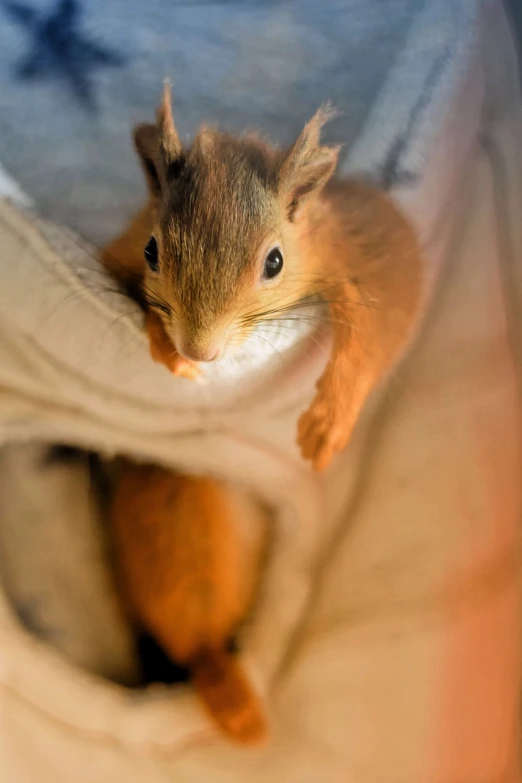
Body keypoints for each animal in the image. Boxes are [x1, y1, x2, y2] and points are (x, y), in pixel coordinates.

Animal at [102, 84, 422, 748]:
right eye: (151, 250)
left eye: (275, 262)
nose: (200, 351)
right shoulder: (113, 251)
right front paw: (164, 345)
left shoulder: (354, 245)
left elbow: (380, 314)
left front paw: (329, 423)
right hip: (172, 516)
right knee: (198, 640)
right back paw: (236, 705)